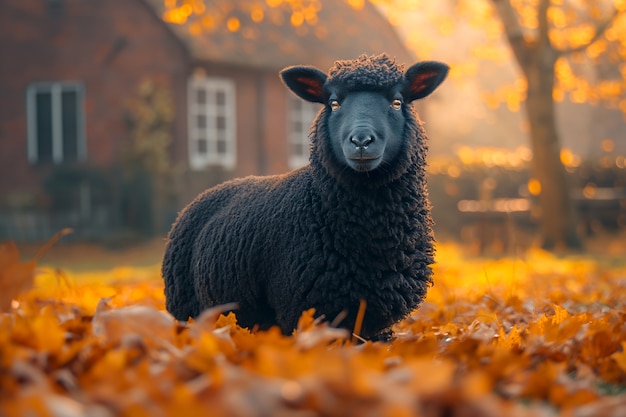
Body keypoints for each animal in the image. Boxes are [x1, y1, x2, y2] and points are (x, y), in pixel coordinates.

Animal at [163, 53, 446, 340]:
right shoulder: (299, 312)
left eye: (397, 102)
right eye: (333, 103)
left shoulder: (374, 324)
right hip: (187, 310)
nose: (361, 141)